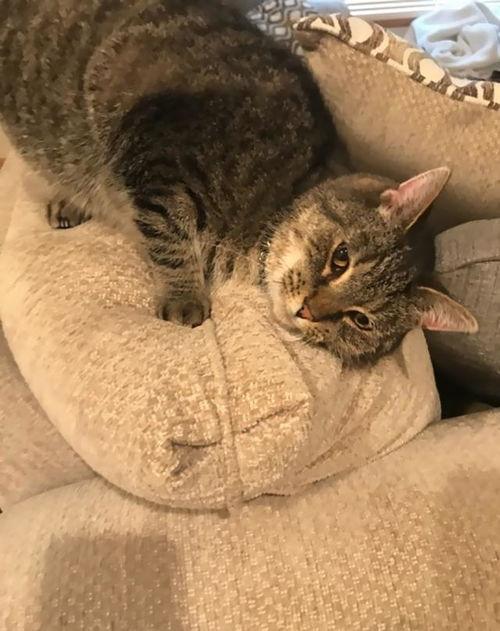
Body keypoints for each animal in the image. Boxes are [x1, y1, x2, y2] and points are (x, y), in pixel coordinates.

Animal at [0, 0, 477, 365]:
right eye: (341, 258)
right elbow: (170, 236)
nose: (308, 310)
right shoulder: (157, 154)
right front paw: (185, 298)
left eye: (360, 320)